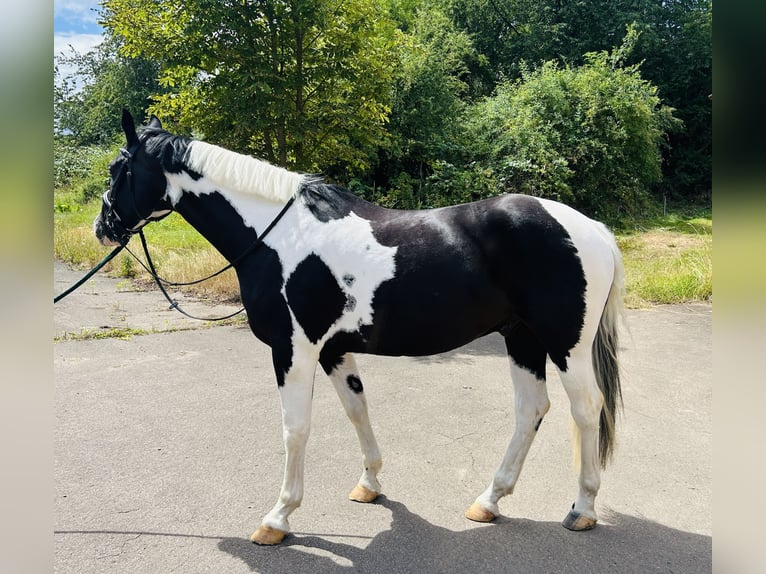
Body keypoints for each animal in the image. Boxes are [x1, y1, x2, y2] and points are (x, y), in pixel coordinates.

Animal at [94, 109, 625, 545]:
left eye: (119, 169)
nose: (103, 226)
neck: (278, 239)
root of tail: (593, 229)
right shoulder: (332, 350)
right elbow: (356, 410)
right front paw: (369, 484)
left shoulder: (294, 349)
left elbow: (295, 429)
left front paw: (278, 517)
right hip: (522, 338)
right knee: (531, 409)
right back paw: (488, 500)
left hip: (566, 345)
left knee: (586, 409)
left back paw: (582, 509)